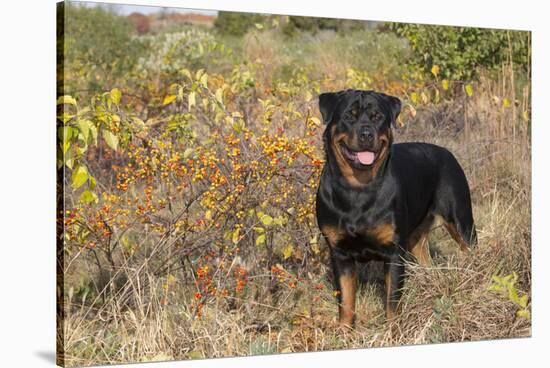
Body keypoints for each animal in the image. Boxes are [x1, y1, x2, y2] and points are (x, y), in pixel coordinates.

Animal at [316, 89, 480, 328]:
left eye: (377, 117)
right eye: (349, 116)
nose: (366, 133)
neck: (358, 188)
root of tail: (446, 152)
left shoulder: (393, 253)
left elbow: (392, 301)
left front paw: (393, 330)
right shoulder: (340, 253)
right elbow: (345, 301)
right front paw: (344, 330)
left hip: (461, 222)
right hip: (415, 239)